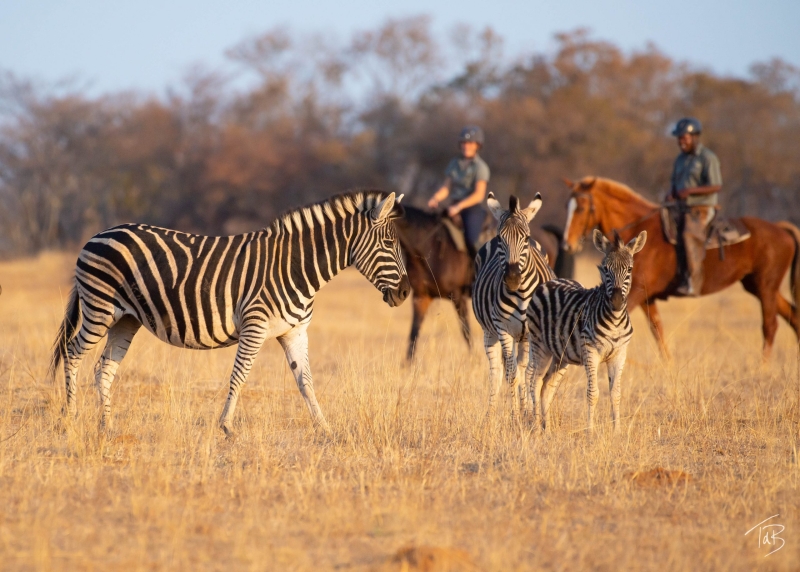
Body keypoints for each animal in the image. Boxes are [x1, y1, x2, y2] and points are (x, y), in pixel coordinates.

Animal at [49, 190, 410, 436]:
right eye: (388, 244)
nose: (406, 293)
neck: (297, 266)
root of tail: (97, 235)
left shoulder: (294, 331)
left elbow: (305, 381)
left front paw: (325, 427)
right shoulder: (255, 325)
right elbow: (240, 375)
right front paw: (226, 426)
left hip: (125, 319)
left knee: (104, 367)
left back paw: (107, 425)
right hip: (99, 308)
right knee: (73, 352)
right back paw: (70, 417)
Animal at [396, 206, 572, 358]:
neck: (428, 248)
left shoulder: (457, 296)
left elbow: (466, 332)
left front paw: (472, 358)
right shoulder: (421, 297)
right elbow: (414, 332)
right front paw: (408, 364)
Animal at [468, 192, 556, 420]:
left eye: (525, 238)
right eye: (501, 239)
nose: (513, 278)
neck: (521, 295)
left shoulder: (532, 333)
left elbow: (530, 373)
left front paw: (531, 414)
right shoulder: (503, 329)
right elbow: (511, 374)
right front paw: (516, 416)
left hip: (525, 337)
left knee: (523, 368)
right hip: (489, 332)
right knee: (497, 371)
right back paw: (490, 416)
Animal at [524, 228, 648, 434]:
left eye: (630, 269)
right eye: (605, 269)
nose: (616, 301)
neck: (614, 320)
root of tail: (550, 281)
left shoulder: (619, 354)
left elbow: (615, 394)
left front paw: (617, 432)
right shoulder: (591, 352)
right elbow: (593, 393)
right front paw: (590, 432)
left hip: (560, 356)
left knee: (547, 386)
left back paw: (547, 429)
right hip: (539, 346)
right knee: (535, 382)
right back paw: (536, 427)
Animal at [564, 177, 800, 360]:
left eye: (582, 208)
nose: (568, 244)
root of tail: (780, 228)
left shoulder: (634, 293)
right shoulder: (646, 297)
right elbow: (658, 330)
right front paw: (668, 365)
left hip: (766, 287)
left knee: (770, 326)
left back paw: (764, 366)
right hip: (758, 287)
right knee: (793, 316)